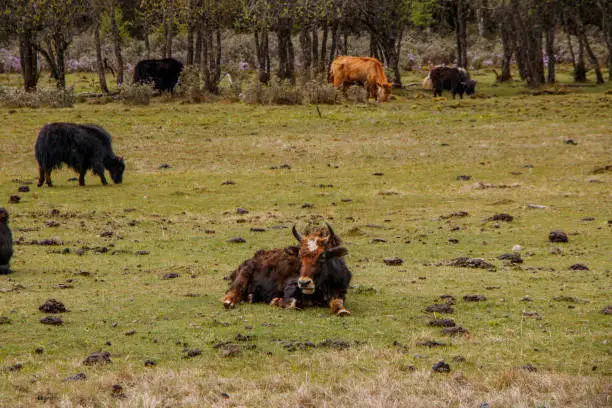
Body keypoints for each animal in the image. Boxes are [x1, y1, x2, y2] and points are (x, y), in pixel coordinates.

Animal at [222, 223, 352, 316]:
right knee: (232, 292)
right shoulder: (291, 285)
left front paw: (342, 311)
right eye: (300, 256)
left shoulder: (340, 290)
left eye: (322, 256)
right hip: (244, 274)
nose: (304, 283)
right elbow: (291, 302)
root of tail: (255, 256)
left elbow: (339, 303)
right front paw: (275, 301)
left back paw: (251, 297)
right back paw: (229, 302)